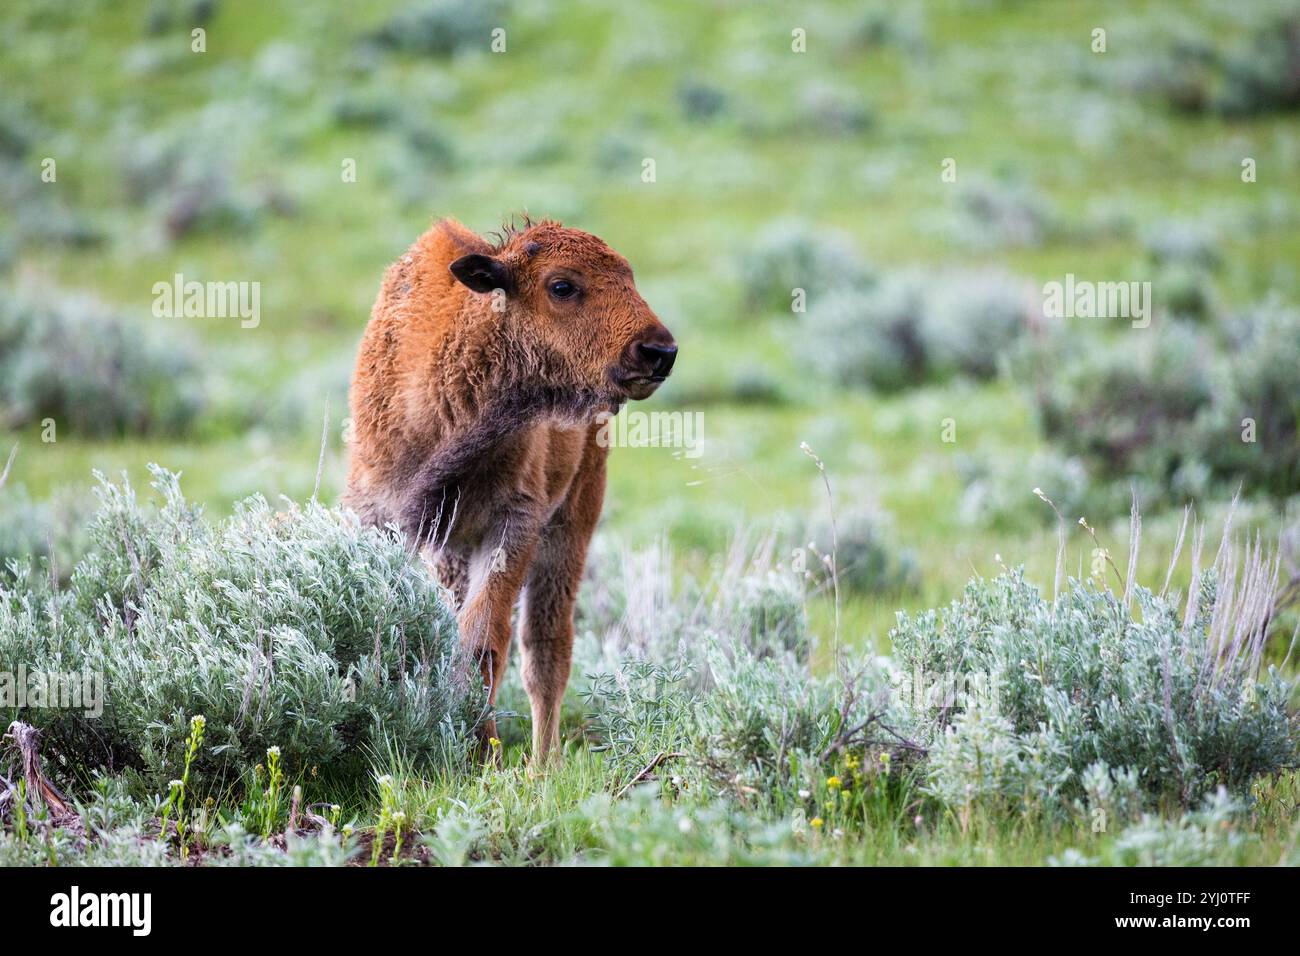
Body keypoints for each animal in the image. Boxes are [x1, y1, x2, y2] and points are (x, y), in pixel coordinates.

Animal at [343, 216, 677, 761]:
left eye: (629, 277)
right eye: (562, 286)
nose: (659, 351)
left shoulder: (513, 525)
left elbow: (483, 640)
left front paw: (483, 751)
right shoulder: (381, 519)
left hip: (572, 523)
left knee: (547, 649)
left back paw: (543, 765)